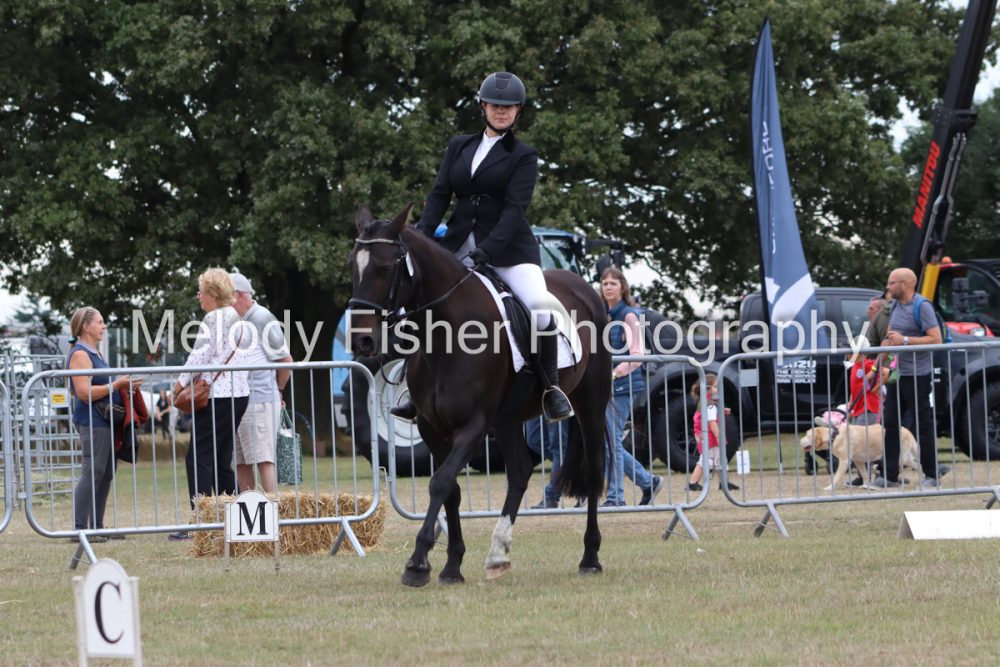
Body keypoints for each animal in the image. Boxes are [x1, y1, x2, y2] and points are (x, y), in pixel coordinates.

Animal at [348, 204, 611, 587]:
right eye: (351, 267)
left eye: (384, 267)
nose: (363, 341)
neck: (445, 335)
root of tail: (586, 291)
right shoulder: (431, 427)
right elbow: (451, 490)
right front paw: (451, 565)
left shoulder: (473, 425)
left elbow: (441, 482)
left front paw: (417, 563)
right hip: (508, 419)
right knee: (519, 472)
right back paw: (498, 554)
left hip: (590, 405)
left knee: (591, 474)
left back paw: (590, 557)